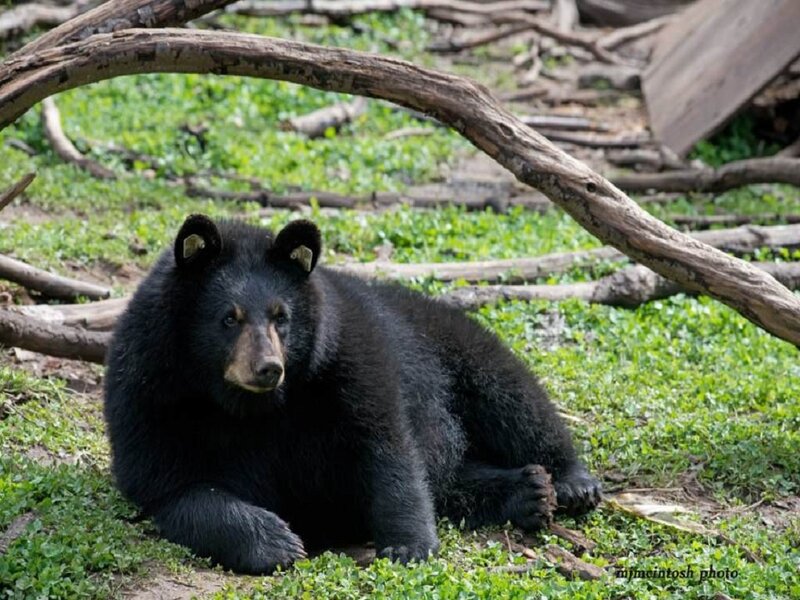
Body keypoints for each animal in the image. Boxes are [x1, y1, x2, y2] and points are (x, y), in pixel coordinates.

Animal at [104, 214, 601, 575]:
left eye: (281, 317)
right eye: (229, 317)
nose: (268, 368)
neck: (245, 403)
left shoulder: (345, 355)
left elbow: (386, 446)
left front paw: (408, 546)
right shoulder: (150, 387)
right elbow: (172, 483)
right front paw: (276, 542)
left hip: (451, 343)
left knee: (512, 397)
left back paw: (569, 483)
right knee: (454, 479)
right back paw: (529, 491)